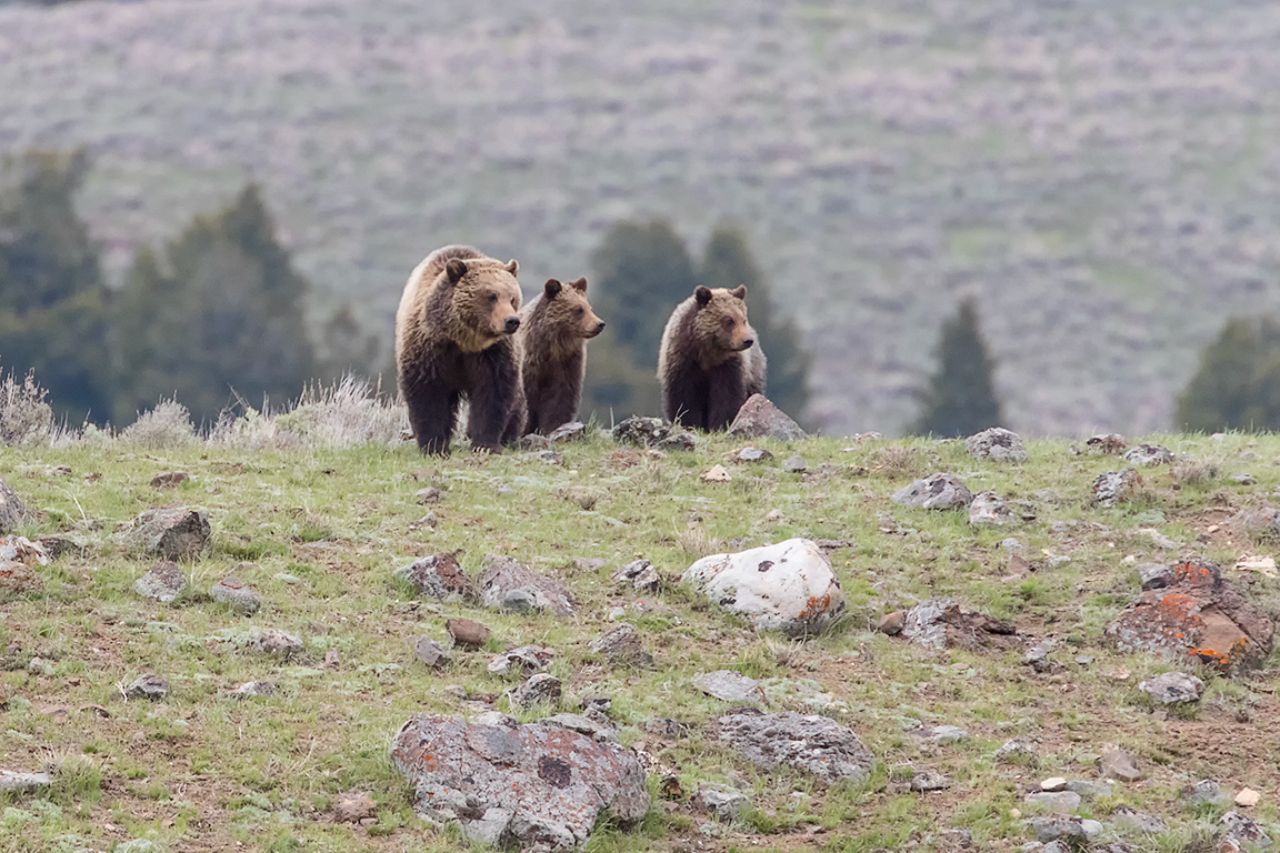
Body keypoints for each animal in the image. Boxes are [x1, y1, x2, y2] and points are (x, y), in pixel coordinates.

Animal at [395, 244, 526, 454]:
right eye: (491, 296)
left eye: (512, 297)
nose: (512, 321)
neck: (464, 340)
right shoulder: (429, 350)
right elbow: (427, 394)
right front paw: (434, 446)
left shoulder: (493, 355)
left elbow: (493, 395)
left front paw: (485, 444)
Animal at [515, 277, 606, 436]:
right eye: (579, 309)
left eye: (589, 307)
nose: (599, 324)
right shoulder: (529, 368)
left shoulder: (566, 365)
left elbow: (560, 400)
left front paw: (553, 428)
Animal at [657, 285, 767, 431]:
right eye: (729, 320)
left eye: (743, 320)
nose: (748, 340)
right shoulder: (683, 360)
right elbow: (683, 396)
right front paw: (689, 423)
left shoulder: (728, 366)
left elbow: (726, 396)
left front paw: (720, 425)